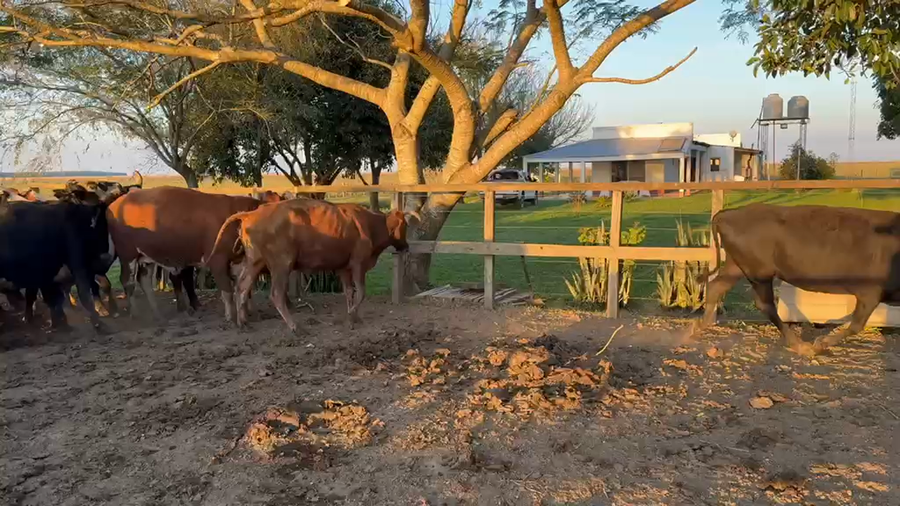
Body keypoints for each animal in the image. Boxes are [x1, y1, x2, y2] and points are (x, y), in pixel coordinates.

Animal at [106, 186, 262, 320]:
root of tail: (114, 205)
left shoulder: (239, 261)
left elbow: (244, 289)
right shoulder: (217, 260)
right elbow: (227, 291)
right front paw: (230, 317)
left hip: (146, 257)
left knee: (144, 280)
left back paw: (158, 315)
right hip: (128, 255)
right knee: (128, 281)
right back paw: (135, 314)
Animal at [209, 199, 413, 334]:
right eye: (404, 226)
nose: (406, 246)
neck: (369, 224)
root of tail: (252, 213)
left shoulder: (344, 268)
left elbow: (349, 292)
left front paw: (353, 317)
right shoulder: (358, 265)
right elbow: (361, 293)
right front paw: (351, 316)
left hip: (254, 262)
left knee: (242, 287)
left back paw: (243, 323)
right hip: (282, 265)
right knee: (276, 294)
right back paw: (294, 326)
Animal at [692, 204, 900, 356]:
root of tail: (727, 214)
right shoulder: (869, 292)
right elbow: (856, 324)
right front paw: (819, 344)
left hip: (736, 266)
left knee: (716, 286)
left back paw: (695, 329)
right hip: (759, 272)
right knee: (765, 304)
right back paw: (800, 345)